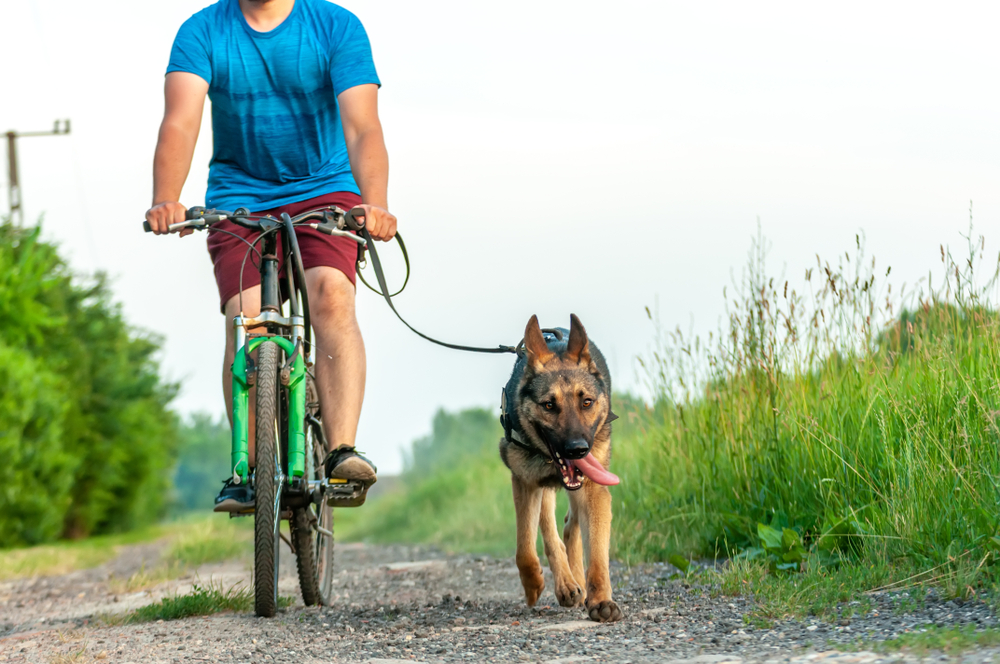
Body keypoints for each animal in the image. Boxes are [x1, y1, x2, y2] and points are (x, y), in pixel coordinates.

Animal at [500, 314, 624, 620]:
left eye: (587, 402)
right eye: (548, 405)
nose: (577, 450)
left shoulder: (593, 490)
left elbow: (598, 554)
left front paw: (601, 600)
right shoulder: (525, 482)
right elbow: (525, 549)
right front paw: (533, 585)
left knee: (570, 529)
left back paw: (577, 580)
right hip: (540, 487)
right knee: (550, 534)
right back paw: (567, 584)